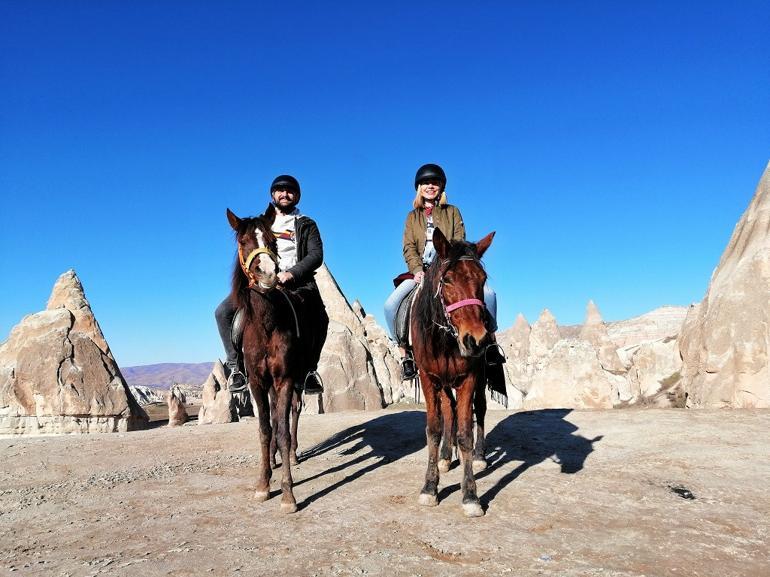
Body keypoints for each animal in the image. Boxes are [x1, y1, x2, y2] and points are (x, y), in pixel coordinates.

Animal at [225, 205, 306, 510]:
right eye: (243, 241)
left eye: (273, 241)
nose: (268, 274)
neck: (266, 323)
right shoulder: (258, 382)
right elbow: (264, 429)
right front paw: (263, 483)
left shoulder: (285, 379)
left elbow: (282, 431)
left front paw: (287, 493)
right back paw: (273, 459)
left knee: (293, 413)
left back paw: (291, 454)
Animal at [412, 226, 496, 516]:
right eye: (446, 280)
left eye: (483, 279)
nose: (476, 339)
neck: (445, 339)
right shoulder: (428, 378)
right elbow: (434, 429)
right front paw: (429, 487)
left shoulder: (469, 378)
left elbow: (465, 433)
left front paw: (470, 495)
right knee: (448, 411)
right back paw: (446, 457)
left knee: (479, 410)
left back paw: (479, 457)